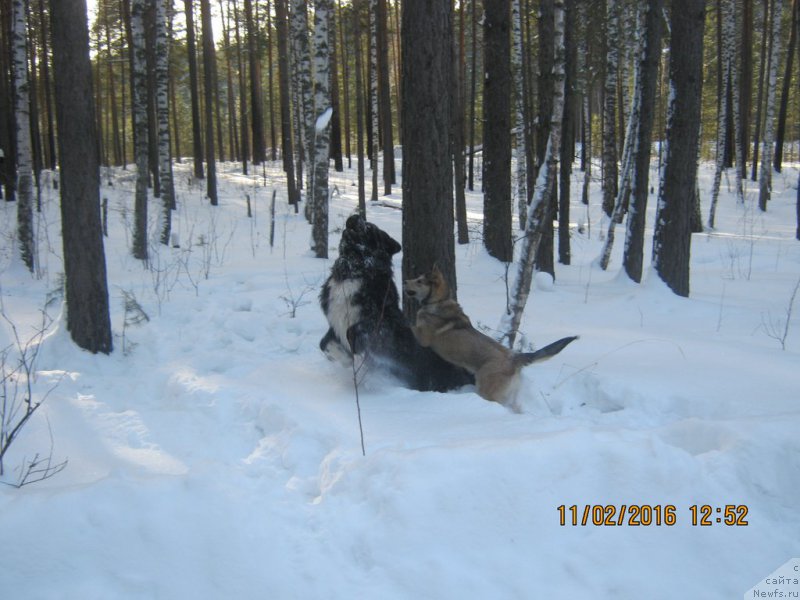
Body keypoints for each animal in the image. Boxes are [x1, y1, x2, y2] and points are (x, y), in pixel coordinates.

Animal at [322, 213, 476, 392]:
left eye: (370, 228)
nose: (355, 215)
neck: (355, 269)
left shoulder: (381, 322)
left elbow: (352, 332)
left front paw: (354, 356)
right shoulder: (335, 322)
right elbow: (324, 344)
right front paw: (345, 359)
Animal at [404, 266, 580, 410]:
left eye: (419, 281)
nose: (405, 281)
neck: (438, 301)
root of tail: (515, 358)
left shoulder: (423, 338)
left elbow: (410, 324)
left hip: (487, 391)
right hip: (511, 396)